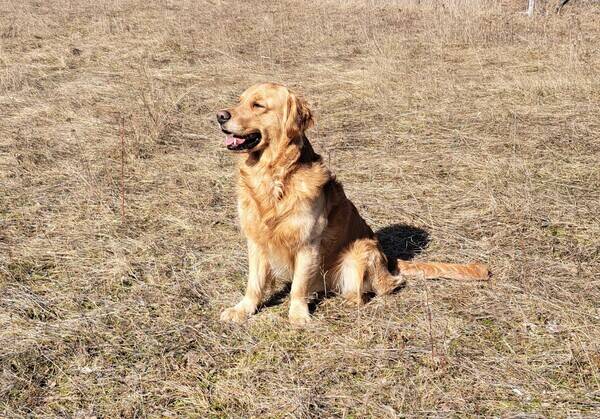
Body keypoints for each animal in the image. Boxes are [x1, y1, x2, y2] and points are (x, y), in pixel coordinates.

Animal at [216, 83, 488, 326]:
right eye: (239, 100)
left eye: (258, 105)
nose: (219, 116)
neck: (274, 177)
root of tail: (387, 258)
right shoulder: (256, 240)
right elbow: (254, 283)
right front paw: (243, 309)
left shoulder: (308, 243)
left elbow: (298, 287)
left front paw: (297, 315)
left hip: (360, 250)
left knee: (384, 286)